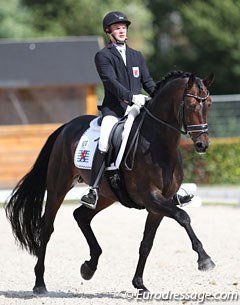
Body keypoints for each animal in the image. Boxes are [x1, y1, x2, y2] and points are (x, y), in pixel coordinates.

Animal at [4, 70, 216, 294]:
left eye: (209, 104)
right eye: (192, 105)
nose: (202, 145)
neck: (159, 144)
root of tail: (66, 127)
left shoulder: (159, 205)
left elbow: (147, 243)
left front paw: (139, 284)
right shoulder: (152, 197)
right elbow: (183, 217)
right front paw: (205, 260)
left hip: (106, 195)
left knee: (81, 215)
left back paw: (89, 267)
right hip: (58, 187)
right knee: (47, 228)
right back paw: (40, 283)